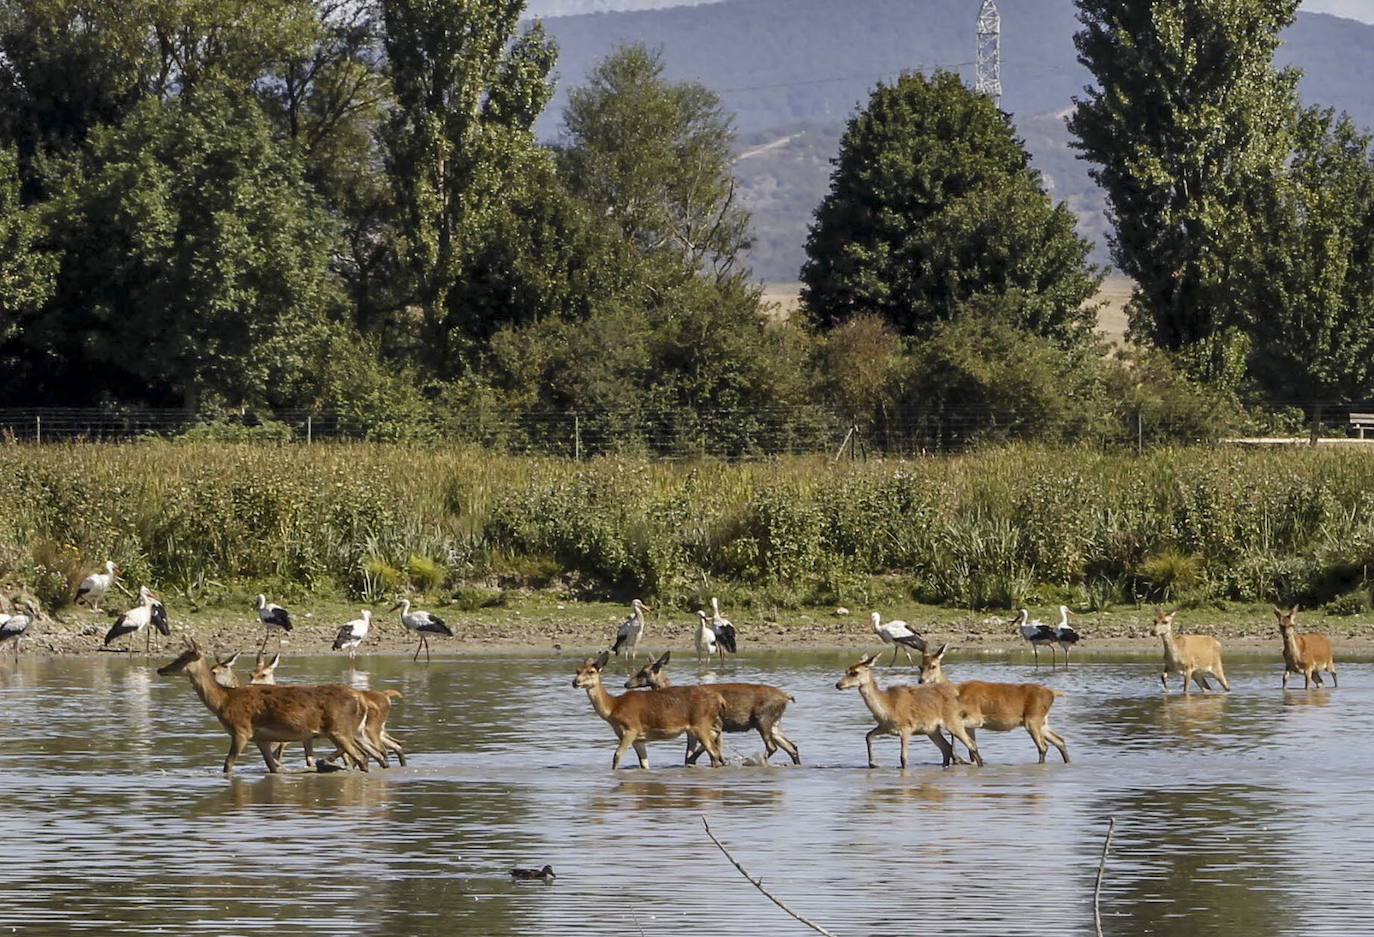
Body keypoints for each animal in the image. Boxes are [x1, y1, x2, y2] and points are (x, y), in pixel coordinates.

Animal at [156, 634, 381, 774]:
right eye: (178, 655)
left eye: (185, 657)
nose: (160, 669)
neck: (223, 702)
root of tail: (360, 700)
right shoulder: (261, 738)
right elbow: (272, 767)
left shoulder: (241, 731)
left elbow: (228, 765)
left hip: (339, 729)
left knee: (362, 758)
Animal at [571, 645, 730, 769]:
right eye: (577, 670)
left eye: (591, 671)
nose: (575, 682)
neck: (613, 708)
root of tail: (719, 700)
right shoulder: (639, 739)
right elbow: (644, 764)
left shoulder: (631, 728)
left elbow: (617, 755)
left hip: (700, 724)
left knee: (714, 752)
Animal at [626, 645, 802, 763]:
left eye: (644, 672)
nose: (627, 683)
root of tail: (787, 697)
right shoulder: (693, 731)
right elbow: (690, 756)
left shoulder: (715, 726)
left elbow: (704, 755)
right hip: (774, 723)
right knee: (792, 747)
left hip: (763, 719)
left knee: (773, 747)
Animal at [829, 648, 983, 763]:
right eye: (846, 670)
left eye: (855, 672)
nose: (838, 684)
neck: (887, 708)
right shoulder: (885, 727)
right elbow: (868, 736)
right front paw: (873, 764)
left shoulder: (906, 728)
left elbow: (903, 758)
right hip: (932, 730)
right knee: (947, 749)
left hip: (953, 721)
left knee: (971, 744)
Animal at [917, 645, 1066, 763]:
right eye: (920, 666)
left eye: (933, 666)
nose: (921, 681)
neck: (957, 693)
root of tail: (1052, 693)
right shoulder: (970, 725)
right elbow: (972, 749)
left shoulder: (976, 717)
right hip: (1042, 721)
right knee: (1060, 740)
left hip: (1032, 720)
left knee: (1043, 747)